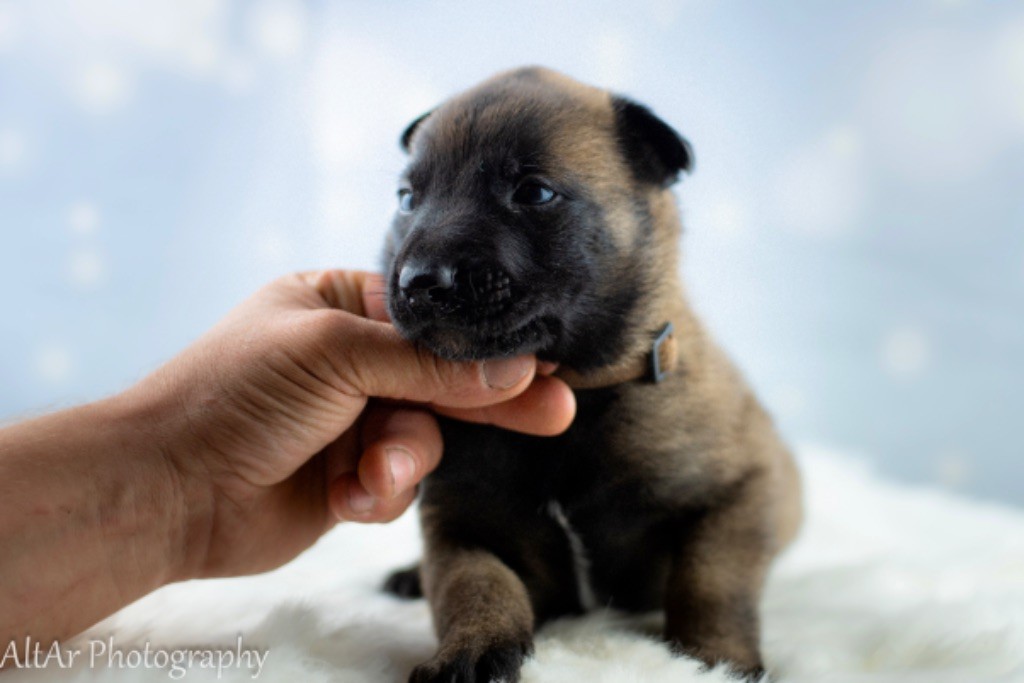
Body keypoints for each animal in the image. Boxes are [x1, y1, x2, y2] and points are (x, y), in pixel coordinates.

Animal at [380, 65, 802, 683]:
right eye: (408, 199)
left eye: (534, 192)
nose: (419, 281)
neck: (571, 390)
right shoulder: (460, 527)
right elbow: (476, 587)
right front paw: (471, 650)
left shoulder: (742, 489)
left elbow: (712, 580)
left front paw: (718, 658)